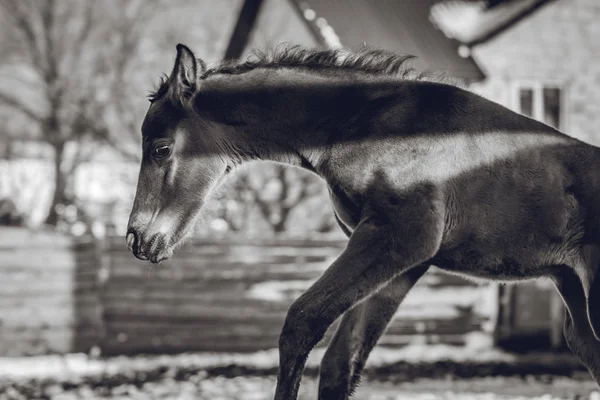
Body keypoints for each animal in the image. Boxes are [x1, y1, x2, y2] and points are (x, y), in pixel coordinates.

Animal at [127, 45, 600, 398]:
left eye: (161, 148)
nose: (138, 239)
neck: (366, 126)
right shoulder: (402, 258)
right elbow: (342, 362)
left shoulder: (400, 236)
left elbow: (302, 322)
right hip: (573, 291)